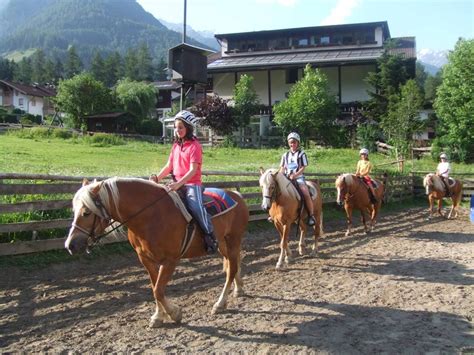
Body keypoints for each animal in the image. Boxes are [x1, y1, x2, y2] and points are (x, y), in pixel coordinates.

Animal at [65, 178, 250, 328]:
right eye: (74, 211)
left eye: (86, 212)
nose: (70, 245)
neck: (151, 216)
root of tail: (236, 195)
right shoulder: (146, 259)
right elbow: (155, 288)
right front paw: (158, 317)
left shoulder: (170, 260)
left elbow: (159, 291)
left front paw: (175, 314)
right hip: (222, 243)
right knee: (232, 264)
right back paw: (238, 289)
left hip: (233, 239)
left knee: (232, 269)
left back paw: (220, 303)